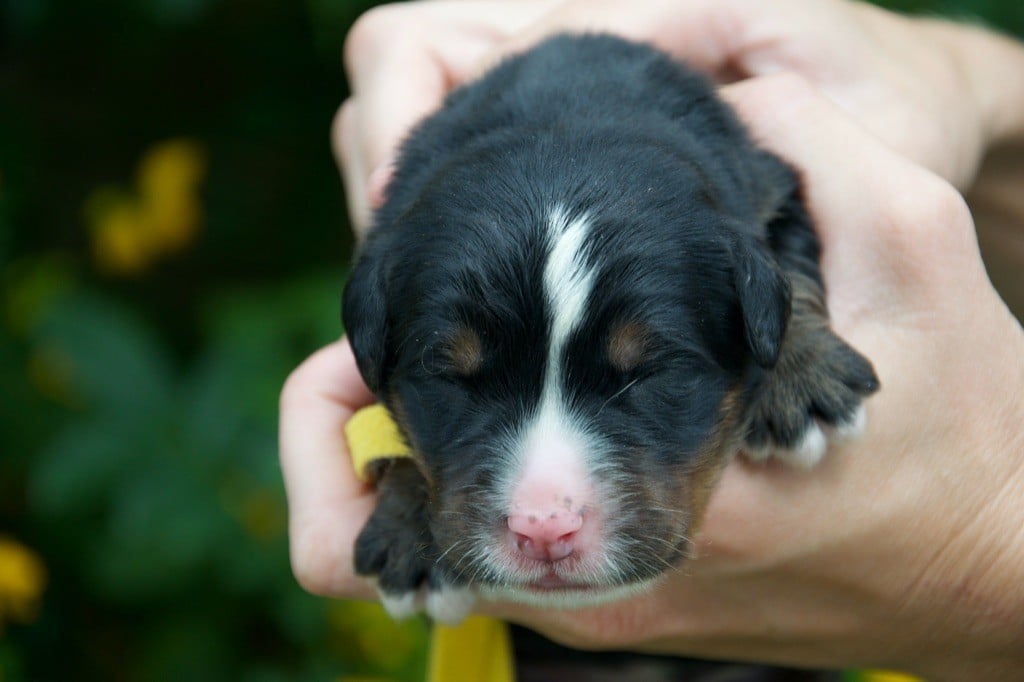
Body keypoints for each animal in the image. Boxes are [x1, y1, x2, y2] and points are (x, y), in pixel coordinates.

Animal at [339, 33, 876, 622]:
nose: (544, 529)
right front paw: (408, 529)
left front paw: (805, 378)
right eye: (450, 378)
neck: (569, 121)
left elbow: (789, 273)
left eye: (649, 373)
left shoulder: (772, 183)